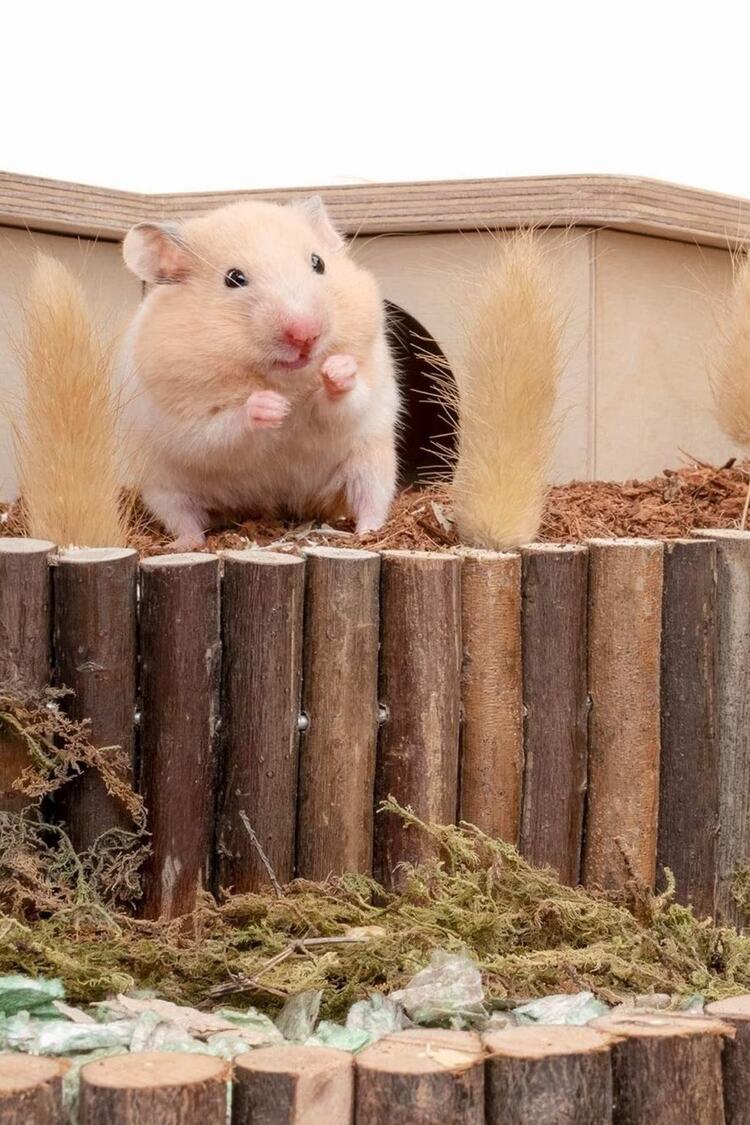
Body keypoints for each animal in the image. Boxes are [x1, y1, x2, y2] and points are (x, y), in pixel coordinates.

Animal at [120, 196, 399, 547]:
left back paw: (367, 532)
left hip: (372, 463)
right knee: (183, 518)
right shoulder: (188, 421)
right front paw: (272, 406)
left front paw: (337, 371)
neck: (283, 379)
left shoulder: (364, 393)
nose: (305, 334)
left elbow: (344, 402)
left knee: (370, 502)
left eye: (318, 263)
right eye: (234, 278)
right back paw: (187, 543)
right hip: (163, 488)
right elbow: (223, 429)